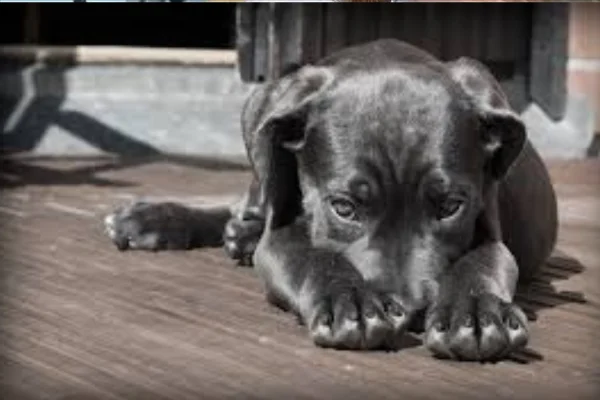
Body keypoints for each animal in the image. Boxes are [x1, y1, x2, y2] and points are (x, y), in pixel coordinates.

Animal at [103, 40, 556, 362]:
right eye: (344, 208)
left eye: (450, 207)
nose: (410, 311)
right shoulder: (282, 235)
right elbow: (313, 256)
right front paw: (349, 302)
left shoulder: (490, 229)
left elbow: (482, 263)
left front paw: (477, 314)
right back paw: (156, 220)